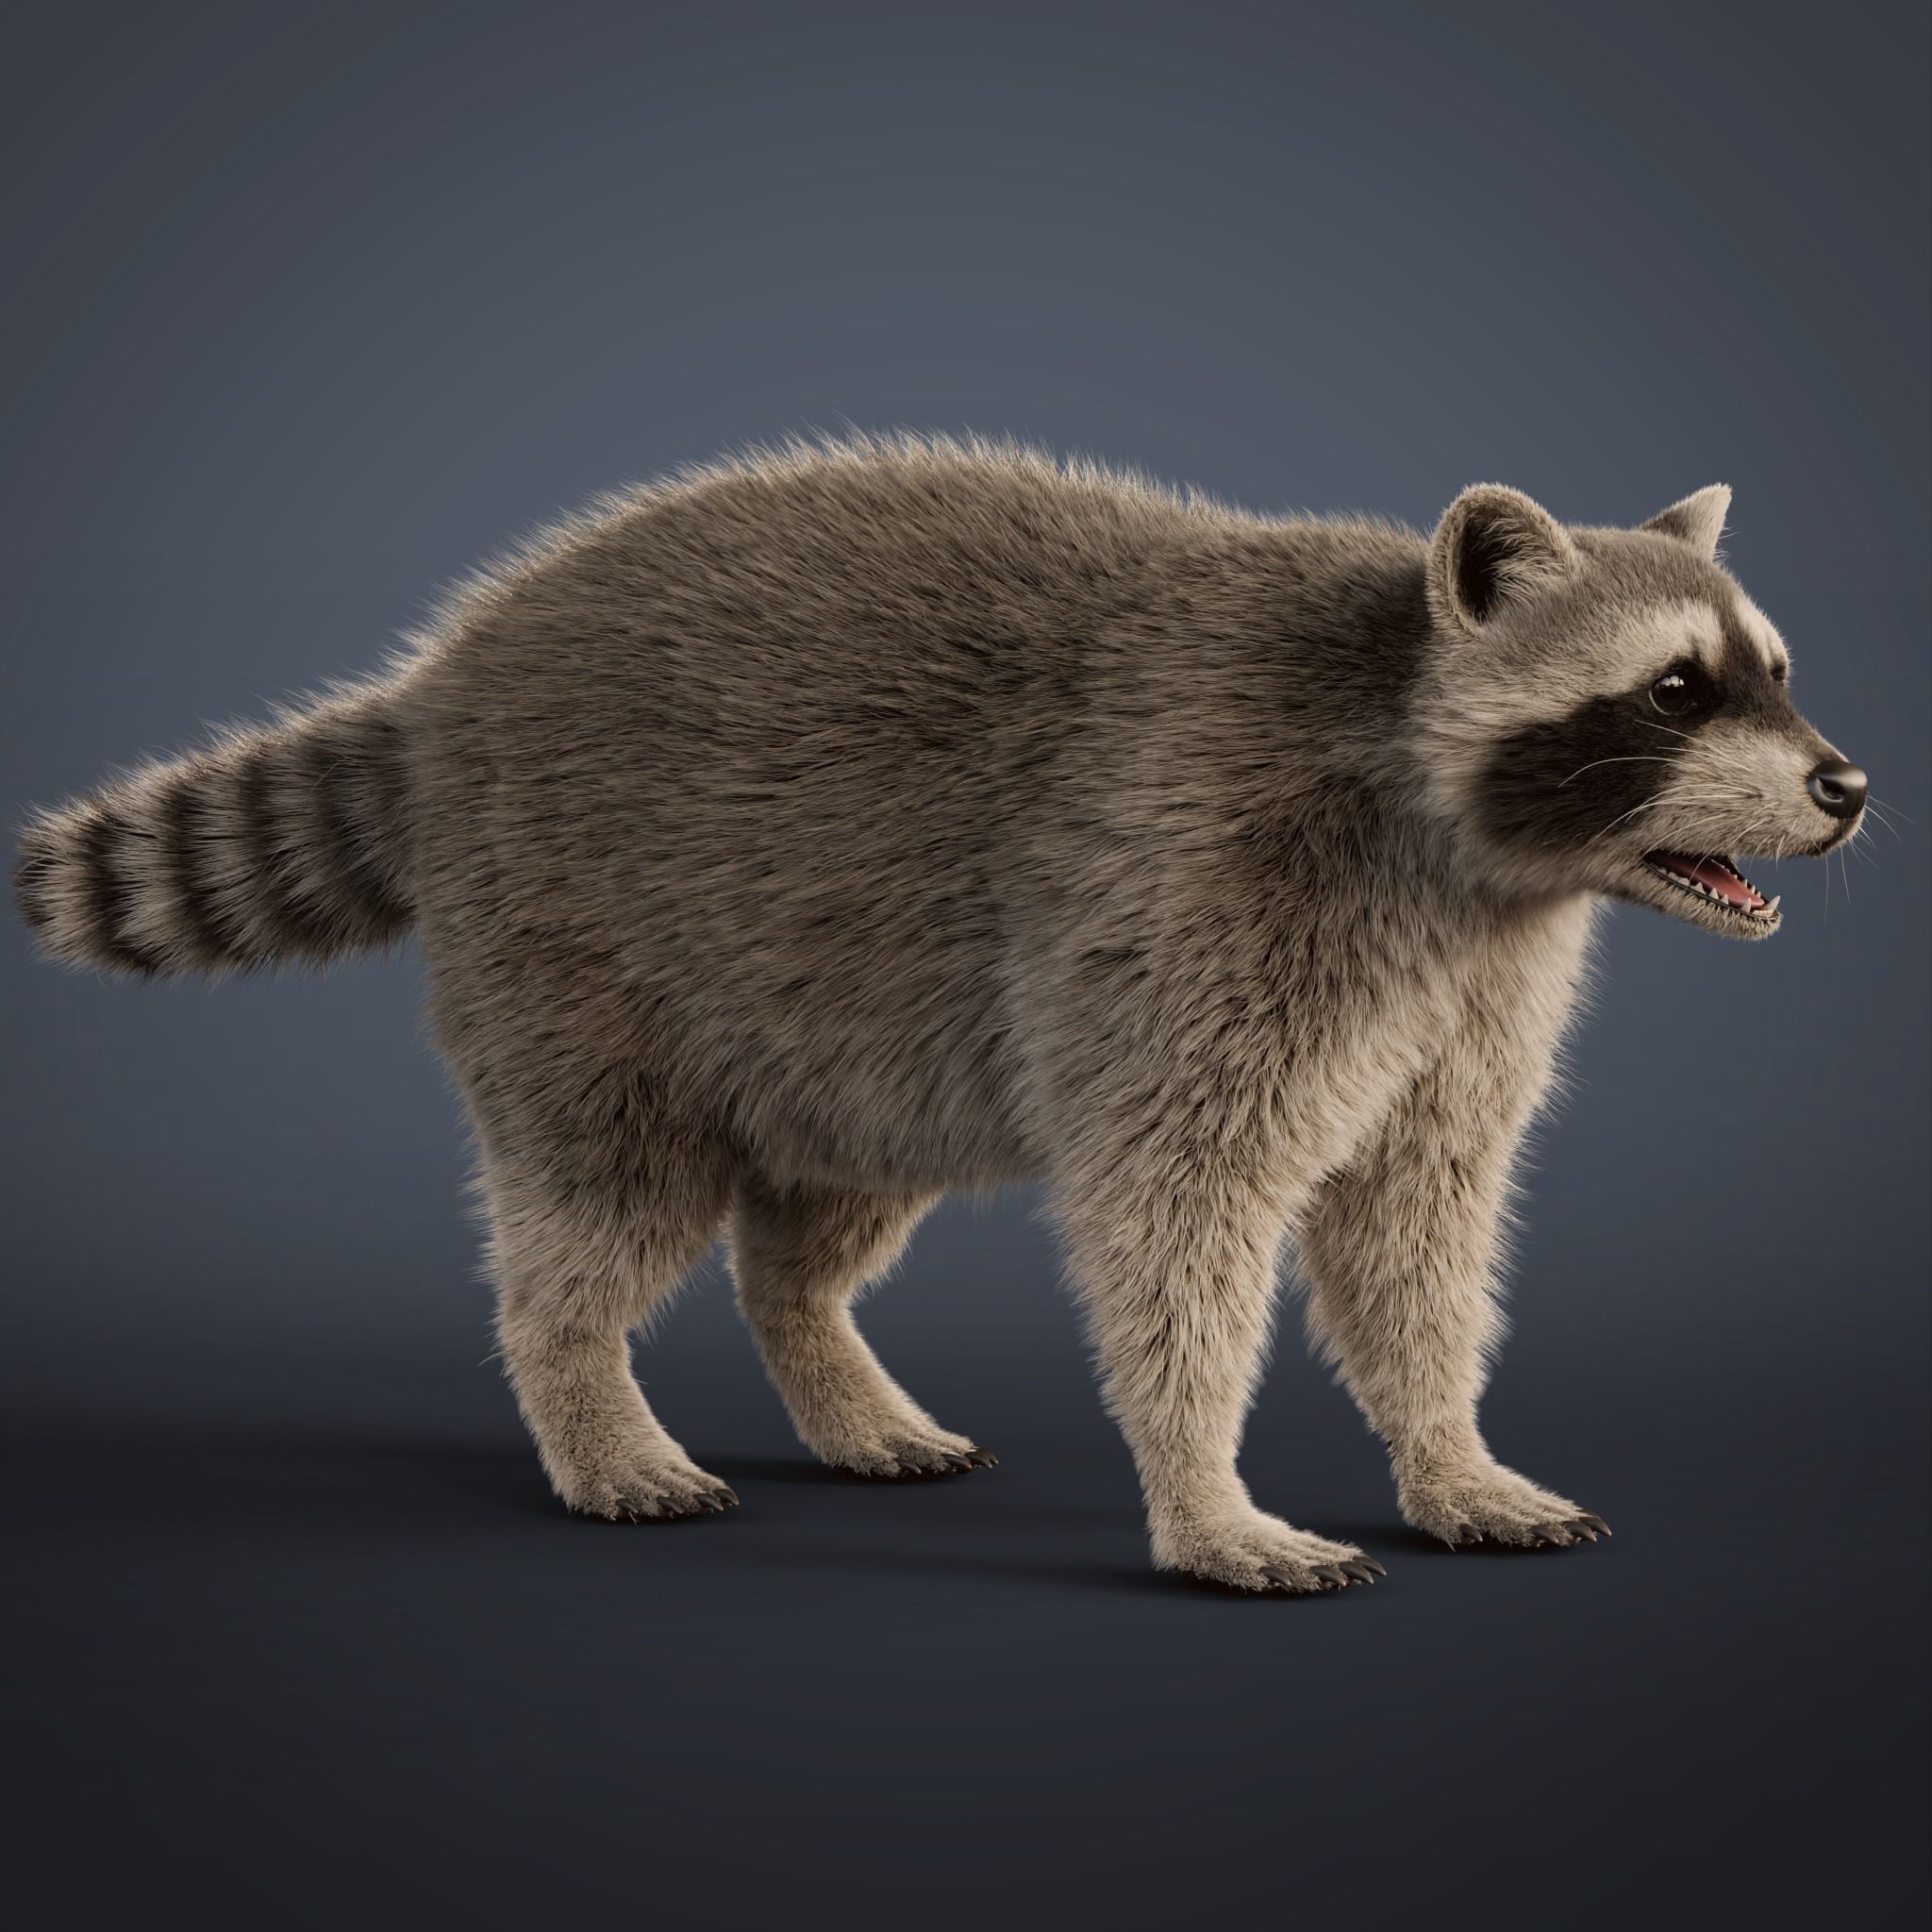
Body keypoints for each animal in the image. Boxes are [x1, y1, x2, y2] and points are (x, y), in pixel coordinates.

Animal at [15, 437, 1868, 1593]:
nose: (1848, 786)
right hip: (580, 935)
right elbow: (1176, 1214)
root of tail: (442, 679)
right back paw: (585, 1395)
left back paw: (825, 1360)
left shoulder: (1470, 985)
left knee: (817, 1212)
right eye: (1673, 691)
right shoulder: (1204, 883)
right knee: (604, 1197)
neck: (1471, 839)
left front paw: (1449, 1446)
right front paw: (1205, 1488)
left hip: (849, 1004)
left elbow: (1416, 1221)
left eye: (1772, 672)